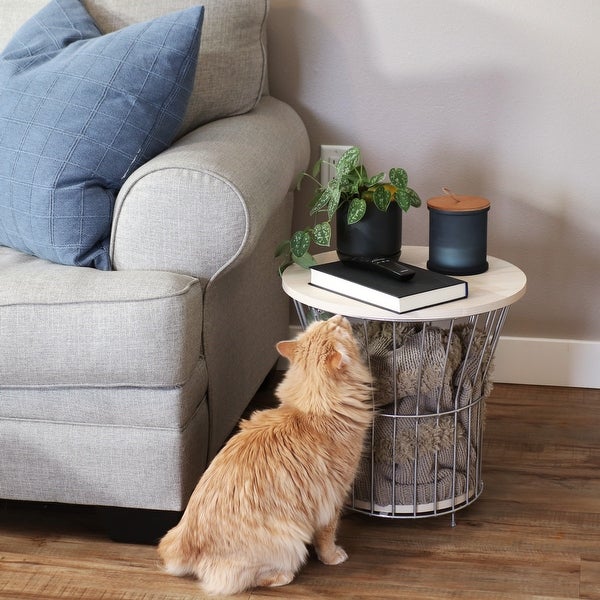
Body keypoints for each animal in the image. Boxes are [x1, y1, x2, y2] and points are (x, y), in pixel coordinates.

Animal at [158, 314, 376, 596]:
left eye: (327, 324)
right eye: (335, 327)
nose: (338, 316)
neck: (310, 411)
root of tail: (184, 541)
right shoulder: (333, 497)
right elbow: (327, 536)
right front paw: (332, 557)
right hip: (289, 540)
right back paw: (283, 575)